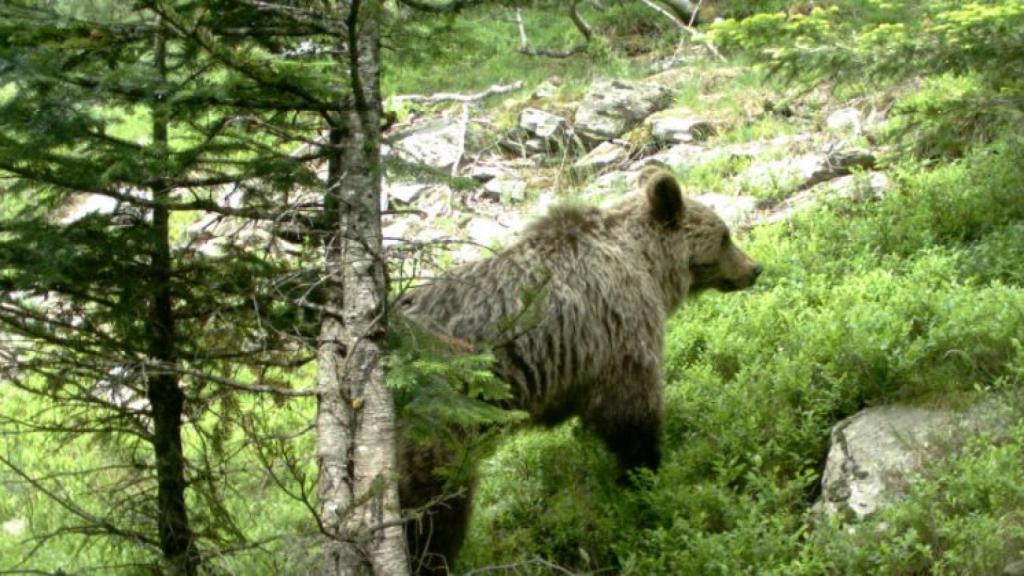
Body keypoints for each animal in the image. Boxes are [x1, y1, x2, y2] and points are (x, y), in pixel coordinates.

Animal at [398, 168, 762, 574]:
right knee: (436, 508)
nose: (755, 268)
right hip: (437, 425)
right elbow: (632, 411)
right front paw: (644, 476)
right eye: (725, 236)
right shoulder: (620, 328)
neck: (647, 263)